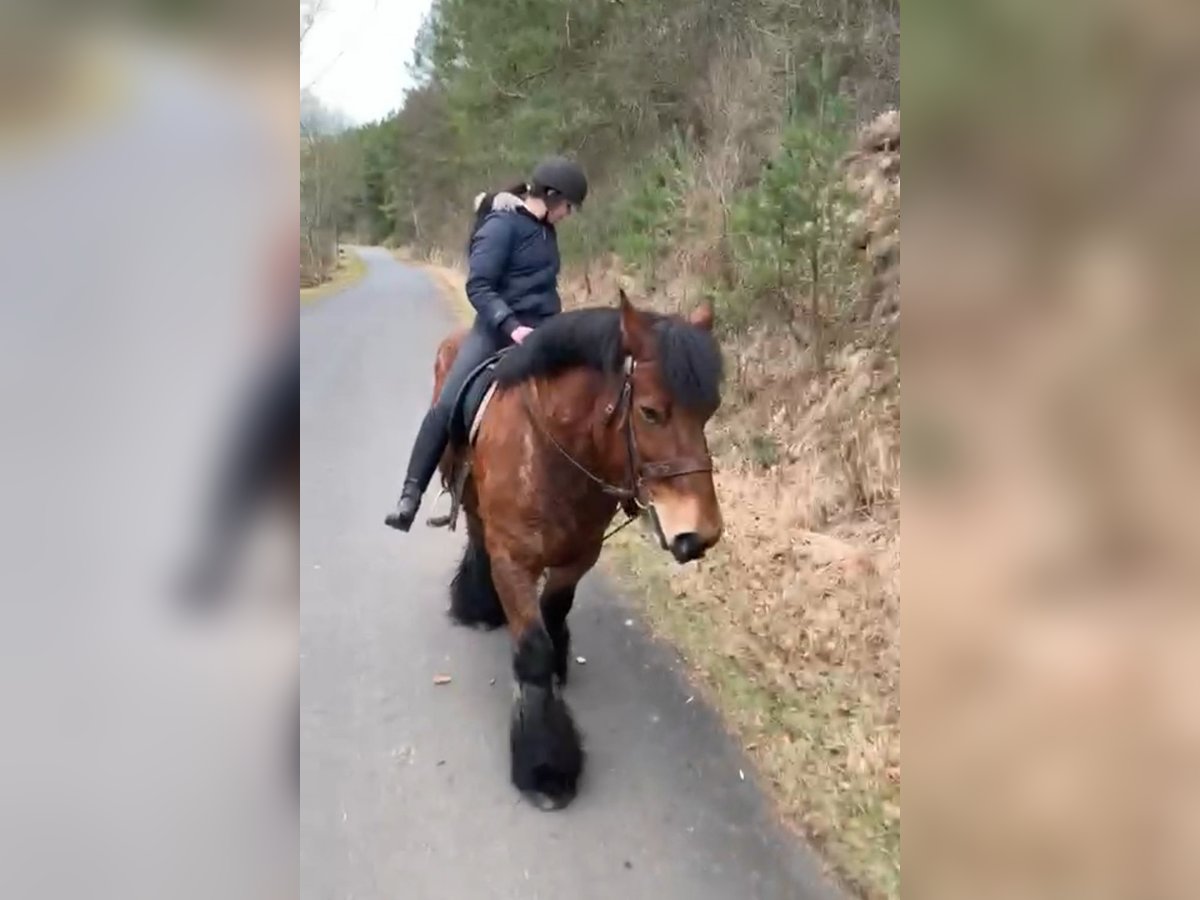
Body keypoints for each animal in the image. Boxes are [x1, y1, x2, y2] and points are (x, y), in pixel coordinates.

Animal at [429, 289, 724, 809]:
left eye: (709, 410)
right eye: (650, 412)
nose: (700, 535)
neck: (551, 451)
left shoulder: (579, 555)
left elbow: (553, 617)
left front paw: (559, 668)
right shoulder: (514, 560)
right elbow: (533, 650)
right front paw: (545, 767)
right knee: (476, 536)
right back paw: (477, 605)